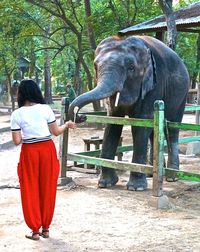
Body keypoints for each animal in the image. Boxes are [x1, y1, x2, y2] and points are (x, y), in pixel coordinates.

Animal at [68, 35, 190, 191]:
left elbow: (141, 124)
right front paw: (104, 184)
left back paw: (171, 177)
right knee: (154, 132)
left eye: (131, 68)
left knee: (173, 128)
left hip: (182, 95)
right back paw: (152, 174)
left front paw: (136, 187)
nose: (81, 116)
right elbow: (112, 123)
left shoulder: (154, 85)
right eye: (95, 66)